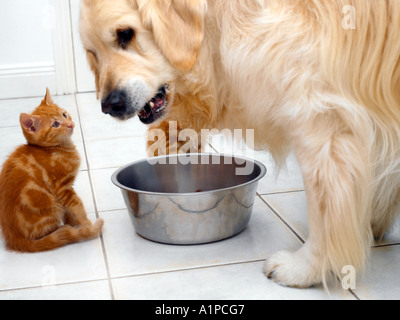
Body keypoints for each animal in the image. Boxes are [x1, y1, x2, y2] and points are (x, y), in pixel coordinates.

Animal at [0, 88, 104, 252]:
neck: (55, 149)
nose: (70, 124)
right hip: (51, 206)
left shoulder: (63, 193)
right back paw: (63, 232)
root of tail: (15, 240)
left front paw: (74, 222)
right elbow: (77, 206)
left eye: (64, 114)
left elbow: (69, 210)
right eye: (55, 124)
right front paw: (86, 224)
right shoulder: (62, 187)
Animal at [79, 0, 400, 288]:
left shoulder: (324, 122)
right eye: (92, 53)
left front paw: (305, 268)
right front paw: (370, 223)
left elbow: (325, 211)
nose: (109, 105)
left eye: (125, 34)